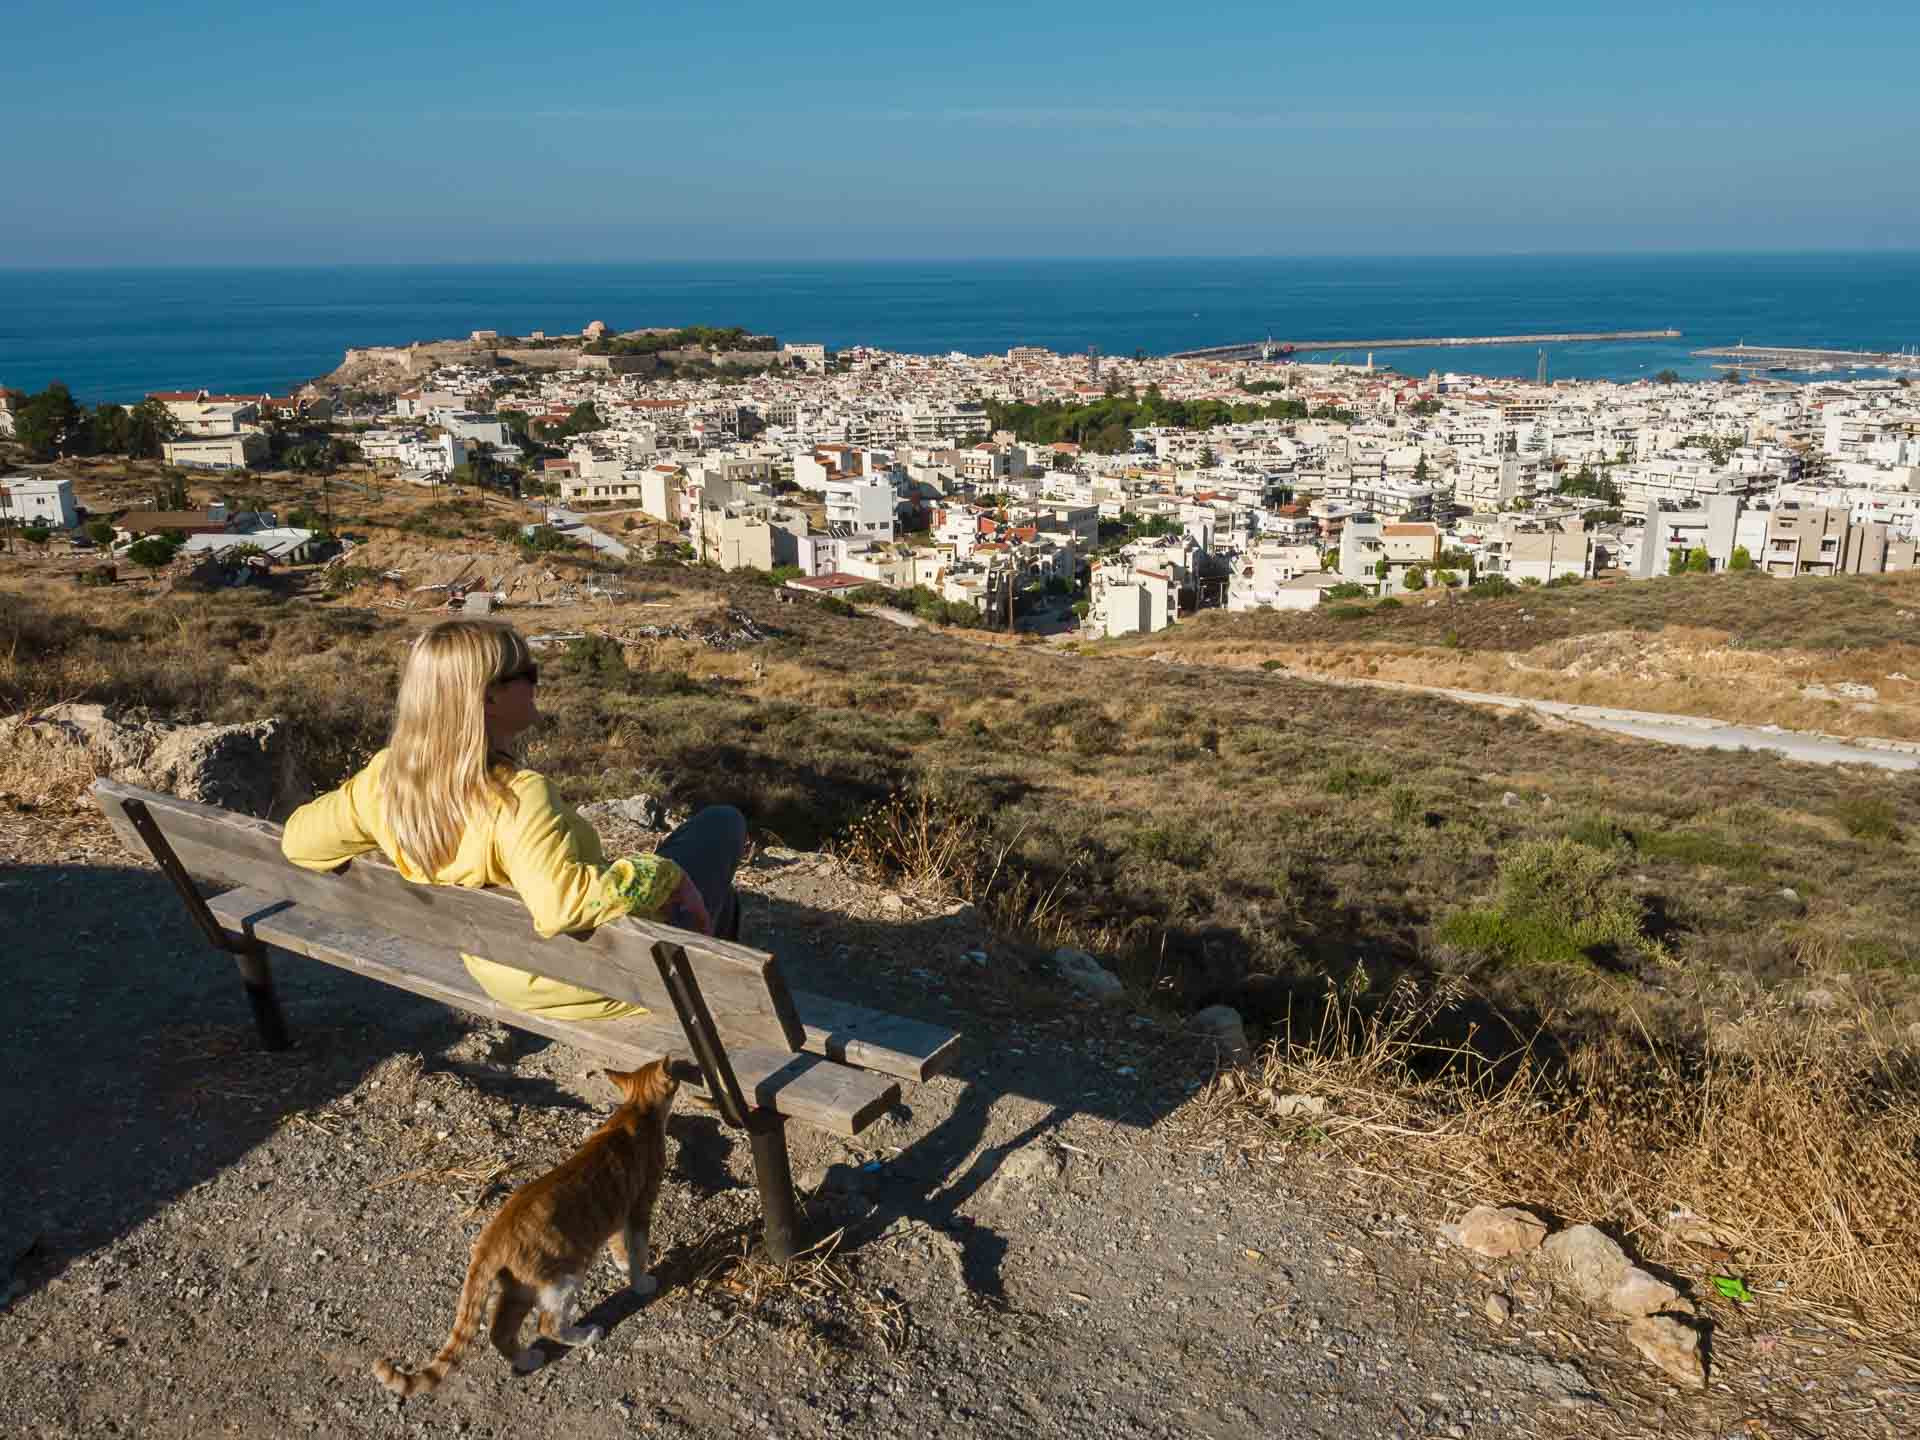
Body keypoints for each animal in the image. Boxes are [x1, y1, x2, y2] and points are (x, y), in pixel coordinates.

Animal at [370, 1059, 679, 1397]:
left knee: (500, 1333)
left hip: (520, 1288)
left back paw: (528, 1359)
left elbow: (618, 1245)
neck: (636, 1109)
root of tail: (495, 1232)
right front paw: (641, 1282)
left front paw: (621, 1264)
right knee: (547, 1324)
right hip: (563, 1278)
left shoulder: (617, 1213)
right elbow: (638, 1251)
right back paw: (585, 1336)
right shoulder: (639, 1208)